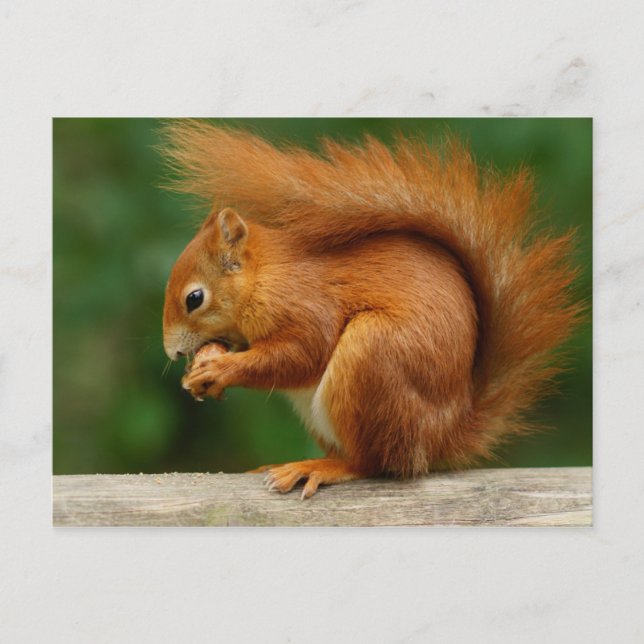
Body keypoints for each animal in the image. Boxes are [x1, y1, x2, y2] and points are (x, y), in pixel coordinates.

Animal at [160, 121, 582, 499]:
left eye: (194, 298)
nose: (173, 352)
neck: (265, 275)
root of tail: (442, 437)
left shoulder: (305, 304)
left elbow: (301, 353)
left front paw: (219, 370)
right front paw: (202, 374)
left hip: (373, 355)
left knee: (373, 463)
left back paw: (318, 467)